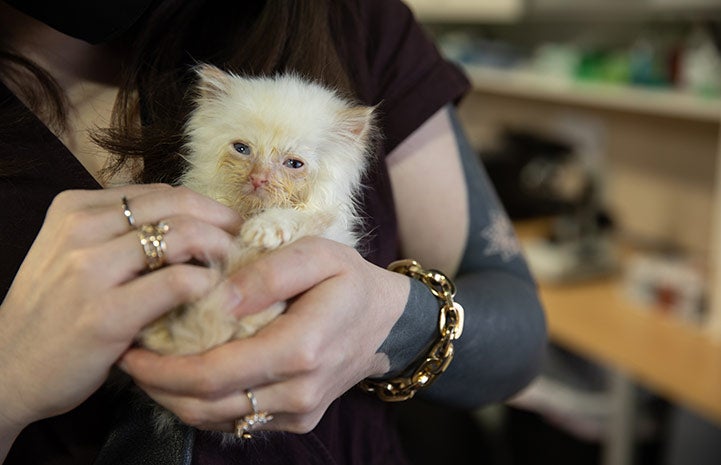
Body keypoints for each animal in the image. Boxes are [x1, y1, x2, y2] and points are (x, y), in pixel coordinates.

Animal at [134, 64, 376, 356]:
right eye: (242, 149)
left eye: (294, 164)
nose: (258, 178)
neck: (248, 212)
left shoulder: (328, 224)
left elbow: (294, 214)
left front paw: (264, 228)